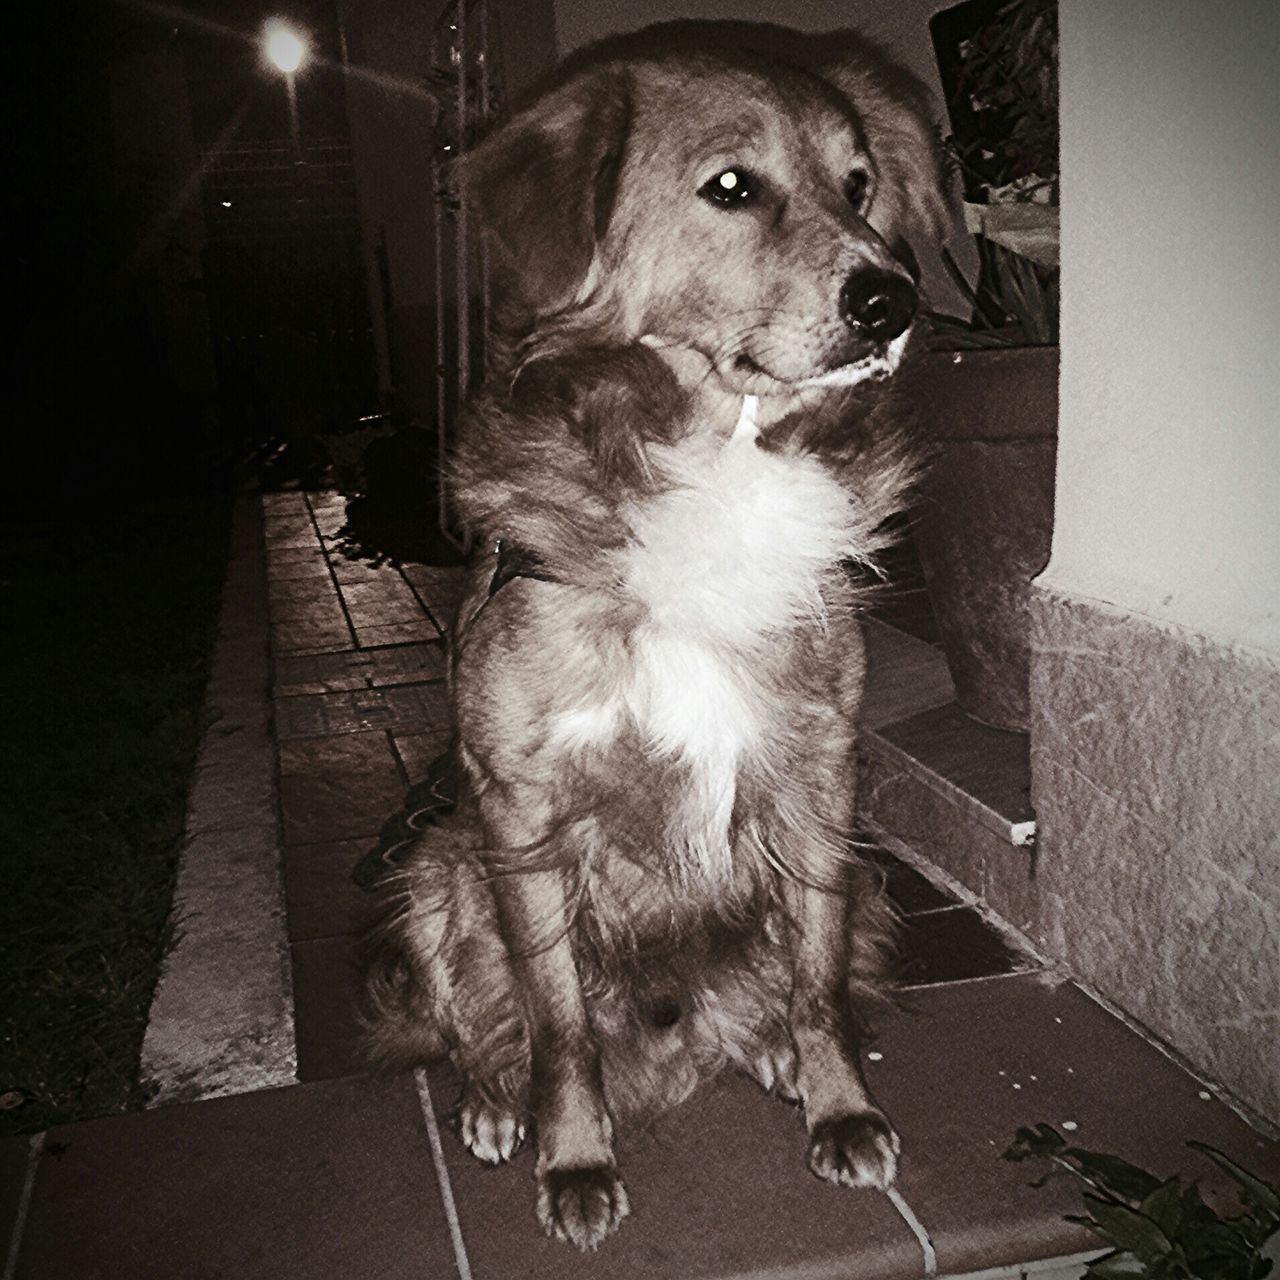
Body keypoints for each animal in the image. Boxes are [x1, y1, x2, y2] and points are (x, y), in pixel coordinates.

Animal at [360, 17, 952, 1249]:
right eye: (731, 187)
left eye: (859, 184)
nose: (892, 300)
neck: (715, 457)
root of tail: (681, 1036)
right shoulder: (522, 809)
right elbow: (557, 1022)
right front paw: (573, 1157)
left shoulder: (818, 775)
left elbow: (819, 981)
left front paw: (838, 1106)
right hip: (440, 868)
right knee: (482, 1025)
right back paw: (494, 1102)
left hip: (869, 879)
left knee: (784, 982)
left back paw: (769, 1048)